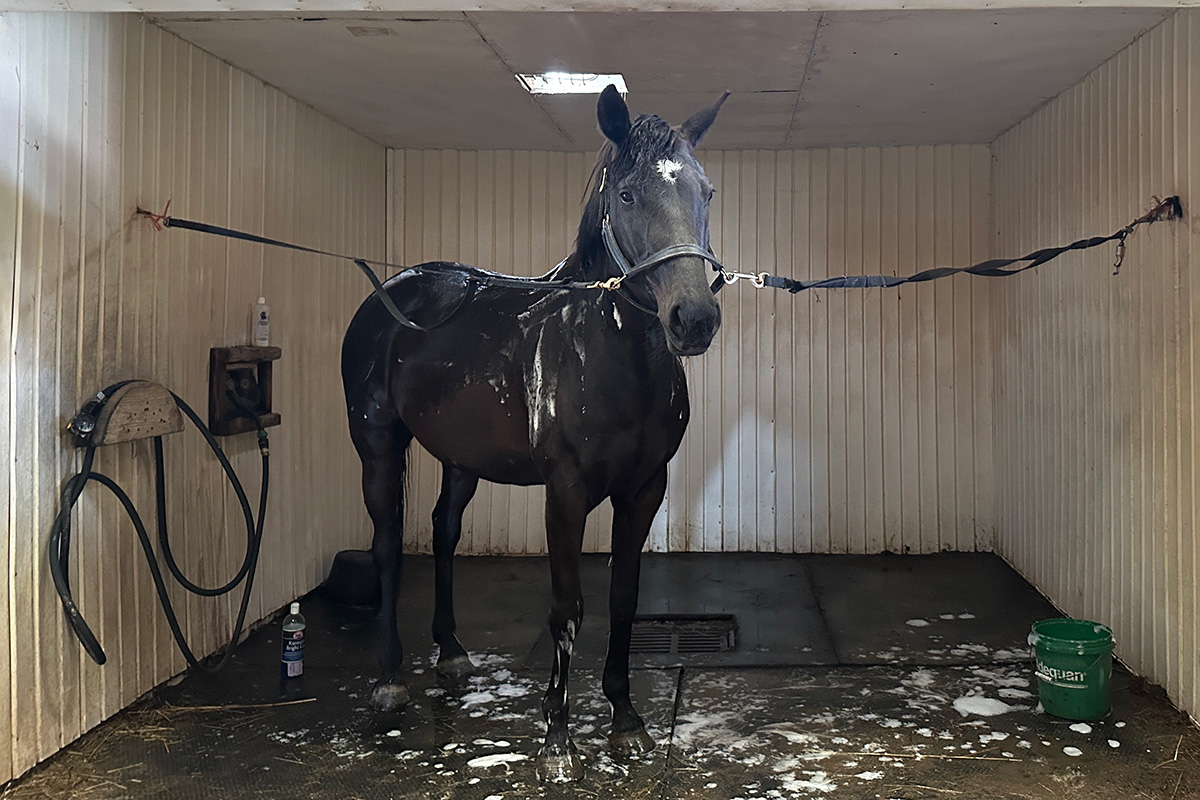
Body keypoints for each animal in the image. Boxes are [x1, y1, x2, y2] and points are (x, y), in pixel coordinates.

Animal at [343, 87, 724, 782]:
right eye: (626, 193)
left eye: (705, 191)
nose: (694, 319)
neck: (605, 349)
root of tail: (396, 288)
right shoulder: (565, 492)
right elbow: (567, 608)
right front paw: (557, 743)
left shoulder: (643, 489)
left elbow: (624, 598)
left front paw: (626, 721)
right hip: (378, 443)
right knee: (387, 545)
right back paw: (389, 678)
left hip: (460, 459)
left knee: (443, 532)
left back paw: (451, 653)